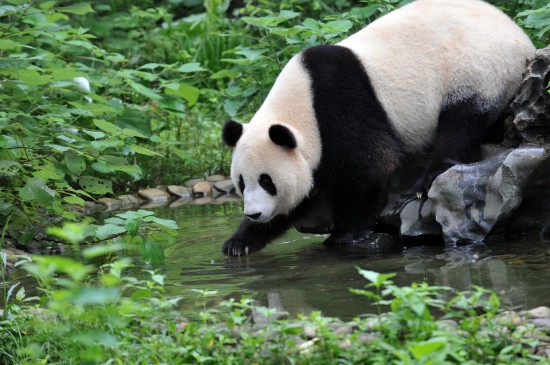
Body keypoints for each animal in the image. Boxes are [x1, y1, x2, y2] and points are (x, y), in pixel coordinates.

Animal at [220, 0, 536, 256]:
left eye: (266, 181)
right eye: (241, 183)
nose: (255, 213)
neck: (302, 104)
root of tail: (521, 36)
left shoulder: (341, 106)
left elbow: (367, 167)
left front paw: (345, 235)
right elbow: (303, 195)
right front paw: (239, 242)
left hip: (476, 68)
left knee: (462, 122)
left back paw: (426, 181)